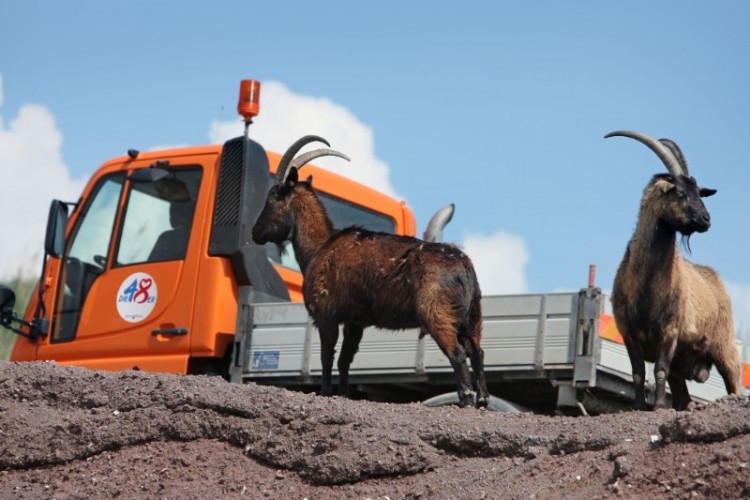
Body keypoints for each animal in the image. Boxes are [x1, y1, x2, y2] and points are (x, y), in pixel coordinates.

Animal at [250, 136, 490, 406]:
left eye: (271, 199)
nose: (255, 233)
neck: (320, 247)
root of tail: (464, 267)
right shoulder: (356, 322)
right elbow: (344, 360)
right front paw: (343, 392)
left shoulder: (326, 314)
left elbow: (326, 355)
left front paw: (325, 391)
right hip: (472, 317)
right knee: (477, 351)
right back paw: (483, 400)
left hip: (438, 315)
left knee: (458, 353)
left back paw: (466, 399)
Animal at [608, 130, 744, 410]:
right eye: (679, 192)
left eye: (699, 192)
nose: (706, 220)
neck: (646, 282)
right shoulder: (628, 331)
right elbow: (638, 373)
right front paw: (639, 406)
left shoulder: (669, 330)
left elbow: (659, 369)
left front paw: (659, 406)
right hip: (683, 363)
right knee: (683, 395)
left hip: (724, 346)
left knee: (734, 383)